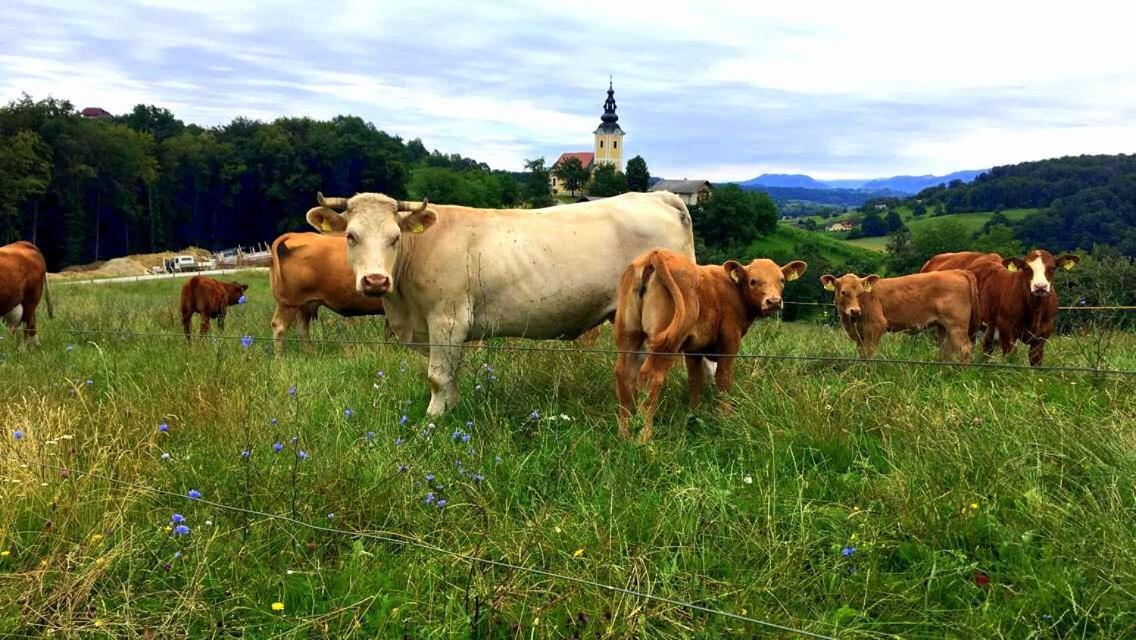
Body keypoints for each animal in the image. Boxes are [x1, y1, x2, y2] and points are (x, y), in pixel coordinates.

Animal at [306, 192, 695, 416]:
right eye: (351, 235)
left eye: (395, 237)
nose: (375, 280)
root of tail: (657, 196)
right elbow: (451, 377)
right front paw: (452, 411)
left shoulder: (447, 320)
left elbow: (437, 377)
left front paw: (433, 422)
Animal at [613, 248, 808, 441]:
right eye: (753, 281)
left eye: (781, 280)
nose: (774, 301)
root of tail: (656, 253)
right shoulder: (730, 341)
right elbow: (723, 379)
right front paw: (726, 419)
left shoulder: (693, 350)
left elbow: (695, 380)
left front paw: (694, 413)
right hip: (666, 343)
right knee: (650, 377)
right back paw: (644, 437)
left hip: (629, 335)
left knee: (624, 374)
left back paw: (624, 435)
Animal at [822, 268, 981, 363]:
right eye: (843, 292)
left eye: (860, 293)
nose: (855, 310)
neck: (851, 322)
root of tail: (955, 271)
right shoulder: (859, 334)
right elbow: (862, 354)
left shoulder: (876, 326)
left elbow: (869, 353)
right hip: (943, 326)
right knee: (945, 351)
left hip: (957, 325)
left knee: (965, 349)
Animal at [917, 250, 1076, 366]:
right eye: (1026, 268)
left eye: (1052, 268)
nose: (1040, 287)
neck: (1034, 310)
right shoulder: (1007, 329)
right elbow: (1010, 357)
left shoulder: (1043, 334)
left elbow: (1035, 361)